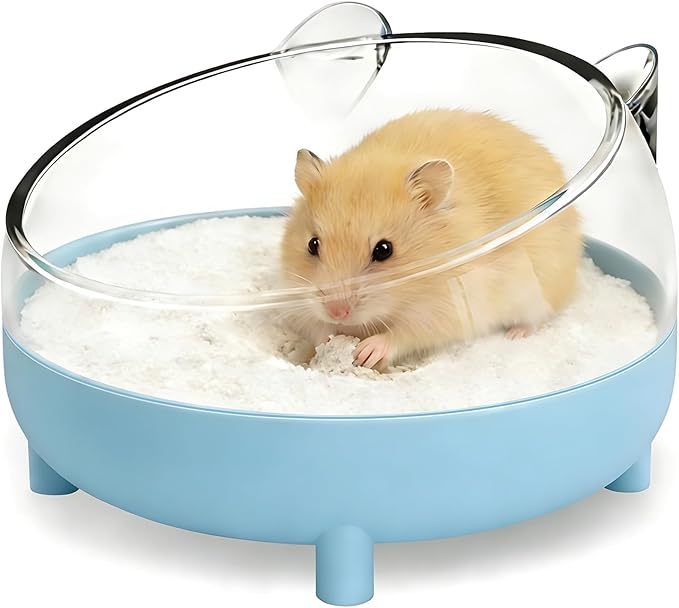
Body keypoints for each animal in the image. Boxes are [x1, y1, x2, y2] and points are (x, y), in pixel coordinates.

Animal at [280, 109, 581, 370]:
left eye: (384, 249)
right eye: (312, 244)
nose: (336, 312)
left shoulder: (446, 308)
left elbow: (404, 334)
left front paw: (367, 351)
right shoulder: (296, 297)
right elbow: (315, 327)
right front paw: (329, 338)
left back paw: (515, 334)